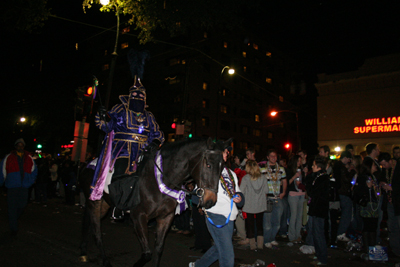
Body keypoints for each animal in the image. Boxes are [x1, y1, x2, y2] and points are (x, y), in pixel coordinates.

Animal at [79, 137, 228, 266]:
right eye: (208, 165)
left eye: (222, 168)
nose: (210, 201)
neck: (161, 180)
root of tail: (89, 164)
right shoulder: (138, 217)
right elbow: (147, 254)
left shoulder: (165, 217)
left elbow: (158, 249)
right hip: (94, 202)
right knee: (96, 232)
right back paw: (103, 260)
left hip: (104, 204)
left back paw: (84, 251)